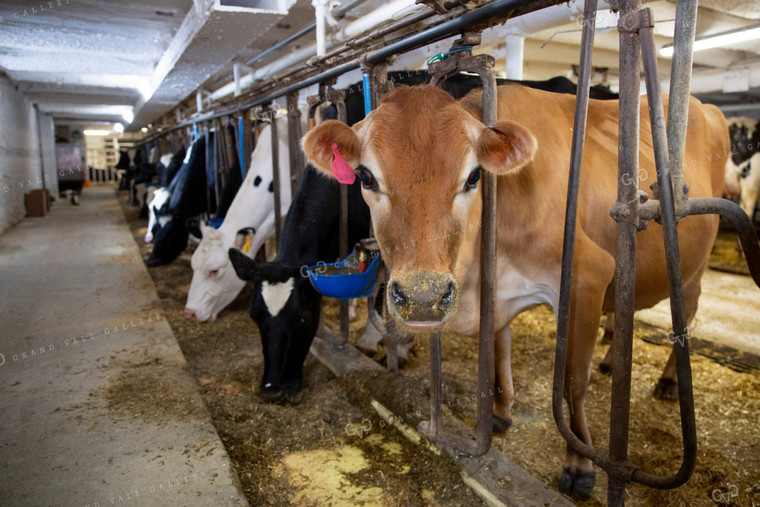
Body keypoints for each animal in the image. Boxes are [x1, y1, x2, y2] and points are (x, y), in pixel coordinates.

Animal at [300, 83, 728, 500]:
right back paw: (612, 360)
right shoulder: (496, 293)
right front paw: (500, 412)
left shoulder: (587, 276)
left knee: (687, 316)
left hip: (693, 265)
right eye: (366, 177)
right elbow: (497, 350)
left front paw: (579, 466)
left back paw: (669, 381)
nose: (423, 298)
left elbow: (573, 382)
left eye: (474, 177)